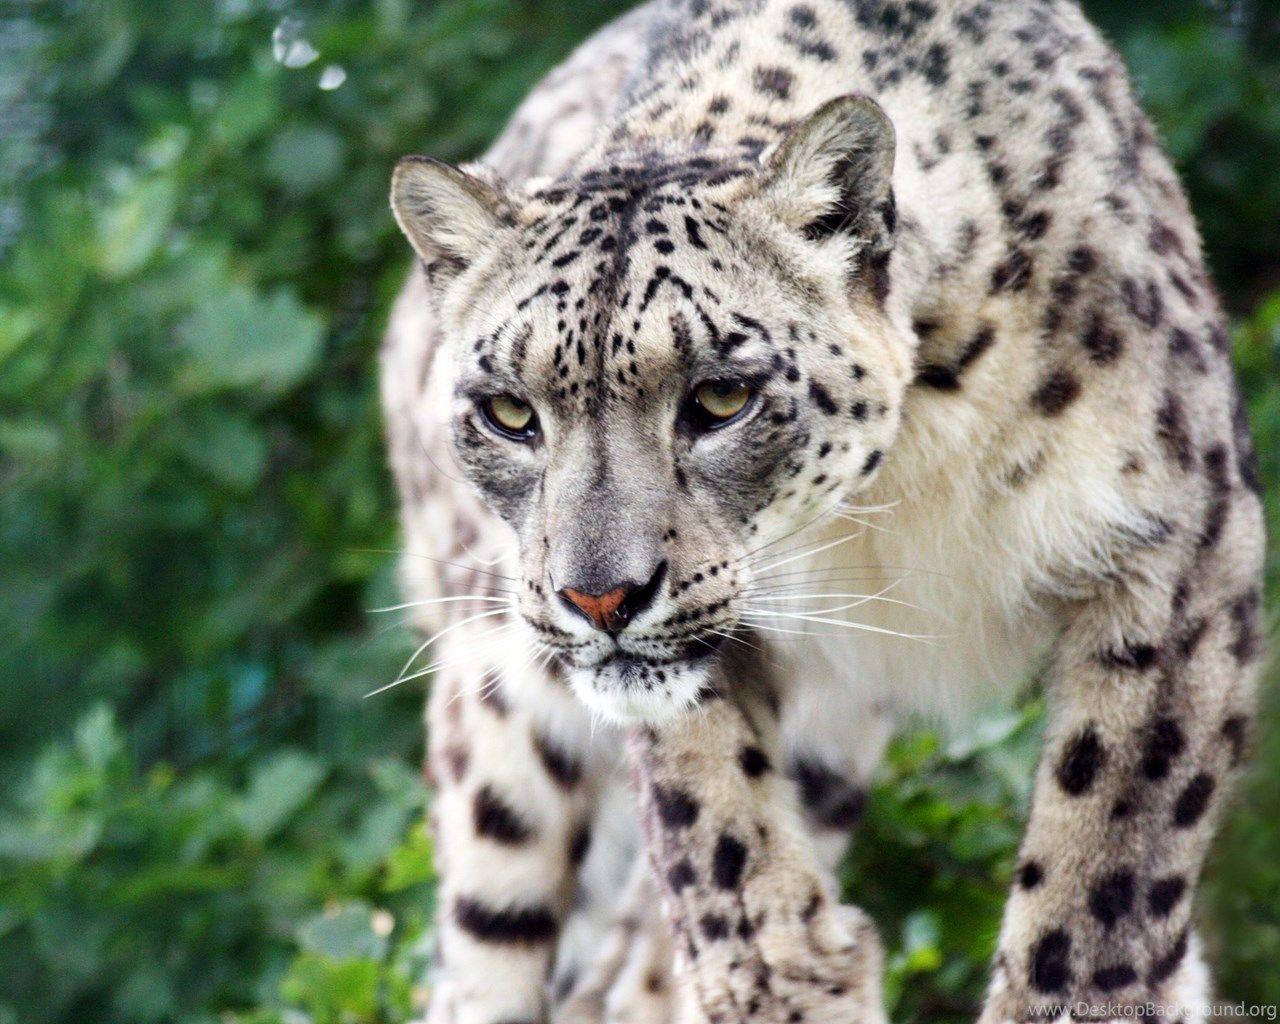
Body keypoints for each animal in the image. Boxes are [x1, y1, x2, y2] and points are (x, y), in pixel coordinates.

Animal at [379, 1, 1266, 1022]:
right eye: (510, 412)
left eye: (721, 398)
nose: (598, 598)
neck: (897, 489)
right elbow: (721, 838)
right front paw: (787, 976)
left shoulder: (1177, 549)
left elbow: (1112, 859)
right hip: (497, 714)